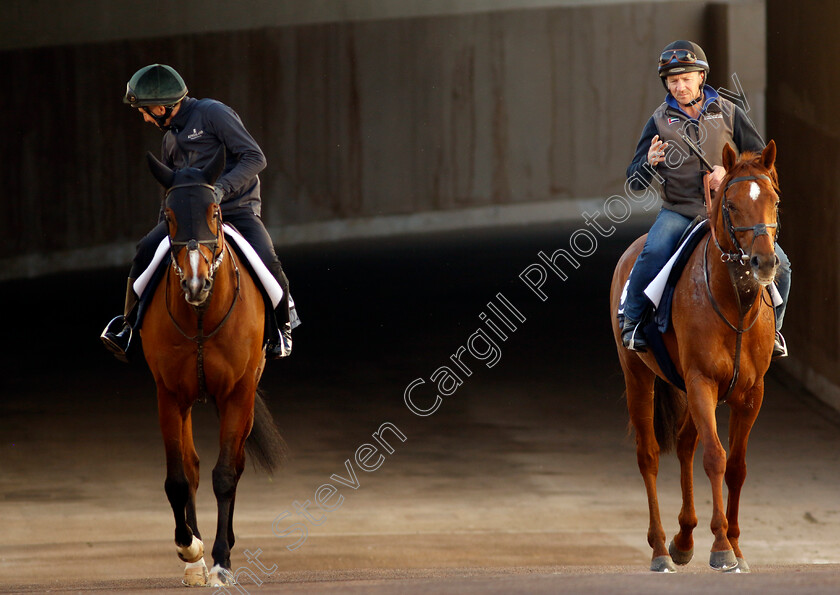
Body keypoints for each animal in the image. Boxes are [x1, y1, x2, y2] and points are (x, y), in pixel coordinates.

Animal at [141, 148, 286, 588]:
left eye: (216, 211)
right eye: (169, 215)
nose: (195, 283)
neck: (202, 315)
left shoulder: (237, 392)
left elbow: (225, 475)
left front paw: (222, 561)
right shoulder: (169, 394)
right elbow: (178, 477)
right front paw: (191, 551)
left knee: (232, 466)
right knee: (191, 466)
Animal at [612, 140, 780, 572]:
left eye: (774, 200)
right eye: (731, 205)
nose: (765, 262)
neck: (735, 302)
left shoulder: (751, 393)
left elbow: (735, 466)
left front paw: (735, 546)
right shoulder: (702, 381)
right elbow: (715, 458)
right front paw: (721, 547)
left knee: (686, 443)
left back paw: (684, 539)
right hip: (638, 376)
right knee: (650, 455)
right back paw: (659, 549)